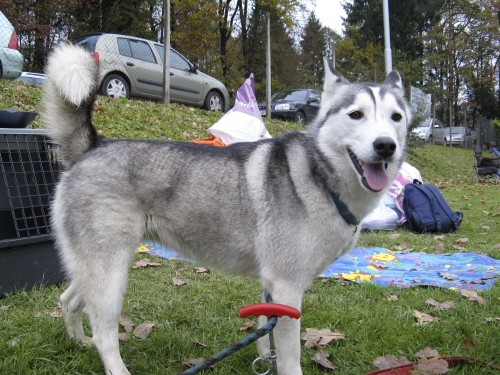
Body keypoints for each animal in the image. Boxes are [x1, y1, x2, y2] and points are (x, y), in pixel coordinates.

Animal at [43, 44, 410, 375]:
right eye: (356, 114)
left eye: (396, 117)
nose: (385, 146)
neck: (320, 178)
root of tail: (94, 145)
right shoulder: (288, 288)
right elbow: (290, 360)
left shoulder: (273, 287)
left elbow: (266, 334)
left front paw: (265, 360)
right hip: (112, 274)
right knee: (105, 336)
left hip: (95, 270)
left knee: (69, 301)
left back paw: (79, 343)